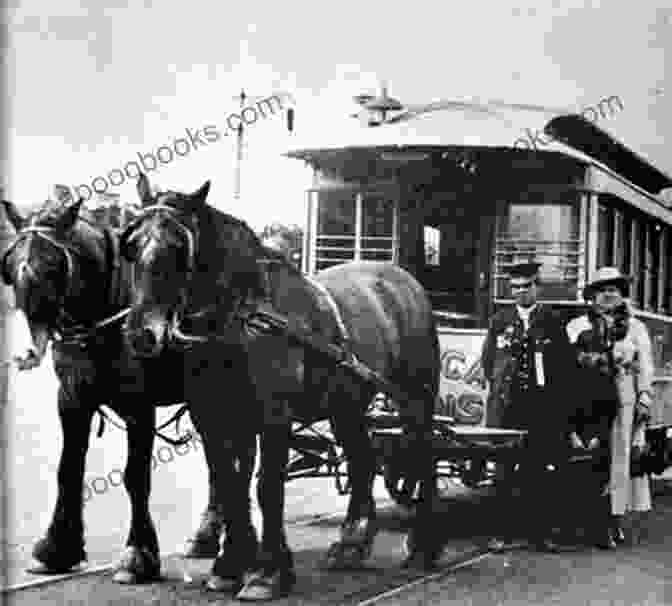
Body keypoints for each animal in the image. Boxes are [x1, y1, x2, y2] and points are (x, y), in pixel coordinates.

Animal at [0, 198, 253, 584]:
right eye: (12, 264)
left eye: (53, 264)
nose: (29, 352)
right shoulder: (71, 401)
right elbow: (67, 470)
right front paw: (57, 548)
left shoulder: (139, 407)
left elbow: (136, 477)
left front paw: (138, 554)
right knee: (217, 459)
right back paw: (207, 536)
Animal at [119, 173, 446, 600]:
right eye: (131, 246)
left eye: (178, 248)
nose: (141, 335)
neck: (243, 316)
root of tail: (405, 280)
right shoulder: (214, 417)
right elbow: (229, 482)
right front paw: (229, 566)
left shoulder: (273, 416)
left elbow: (265, 487)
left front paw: (267, 573)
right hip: (347, 406)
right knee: (363, 460)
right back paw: (352, 544)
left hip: (415, 399)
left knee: (423, 453)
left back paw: (425, 545)